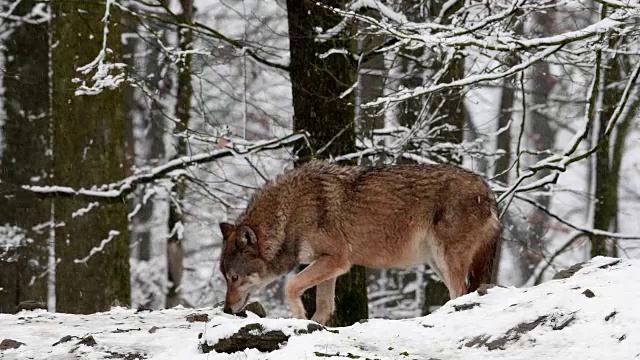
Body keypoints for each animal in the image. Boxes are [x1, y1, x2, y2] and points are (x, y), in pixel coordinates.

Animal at [220, 160, 500, 324]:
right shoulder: (328, 264)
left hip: (447, 260)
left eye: (234, 278)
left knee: (460, 292)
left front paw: (299, 318)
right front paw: (312, 327)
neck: (289, 214)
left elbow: (291, 285)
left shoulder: (337, 260)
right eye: (225, 278)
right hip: (437, 263)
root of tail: (487, 190)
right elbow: (324, 308)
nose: (226, 309)